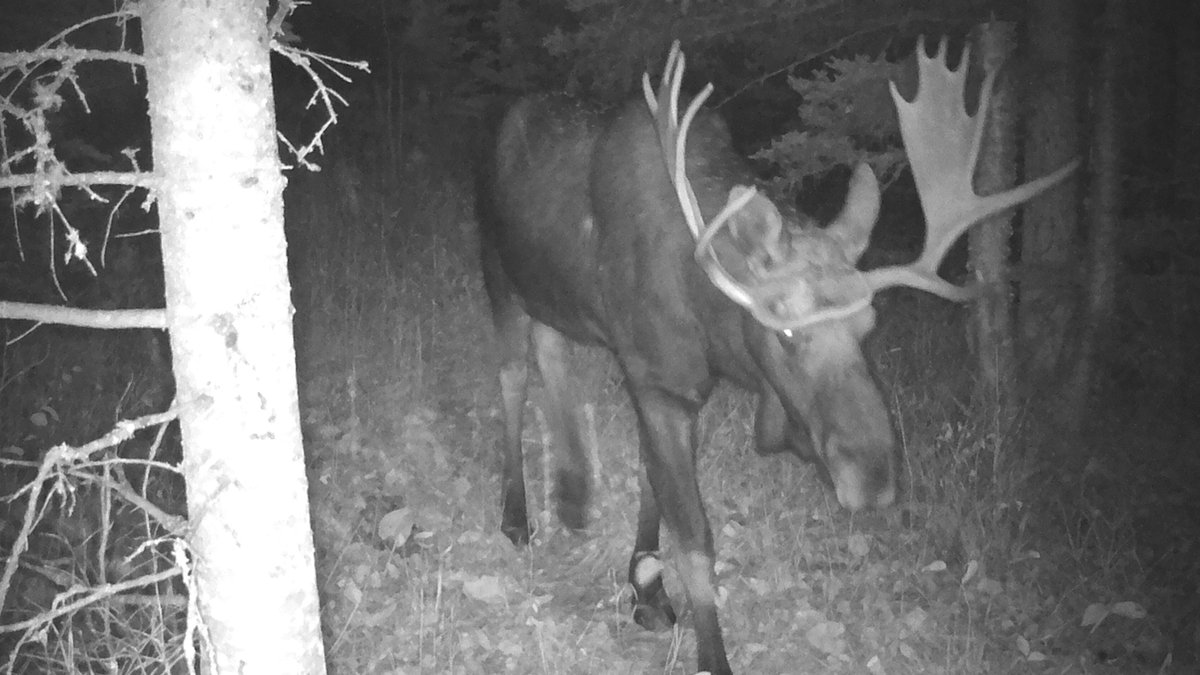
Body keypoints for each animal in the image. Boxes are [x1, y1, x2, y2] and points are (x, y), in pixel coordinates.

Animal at [476, 39, 1077, 674]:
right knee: (511, 377)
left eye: (868, 325)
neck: (710, 320)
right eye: (785, 331)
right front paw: (706, 648)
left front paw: (646, 589)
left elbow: (650, 480)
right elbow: (695, 539)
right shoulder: (658, 382)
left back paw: (572, 496)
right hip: (498, 273)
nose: (873, 478)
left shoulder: (669, 383)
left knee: (551, 351)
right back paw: (517, 516)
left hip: (549, 294)